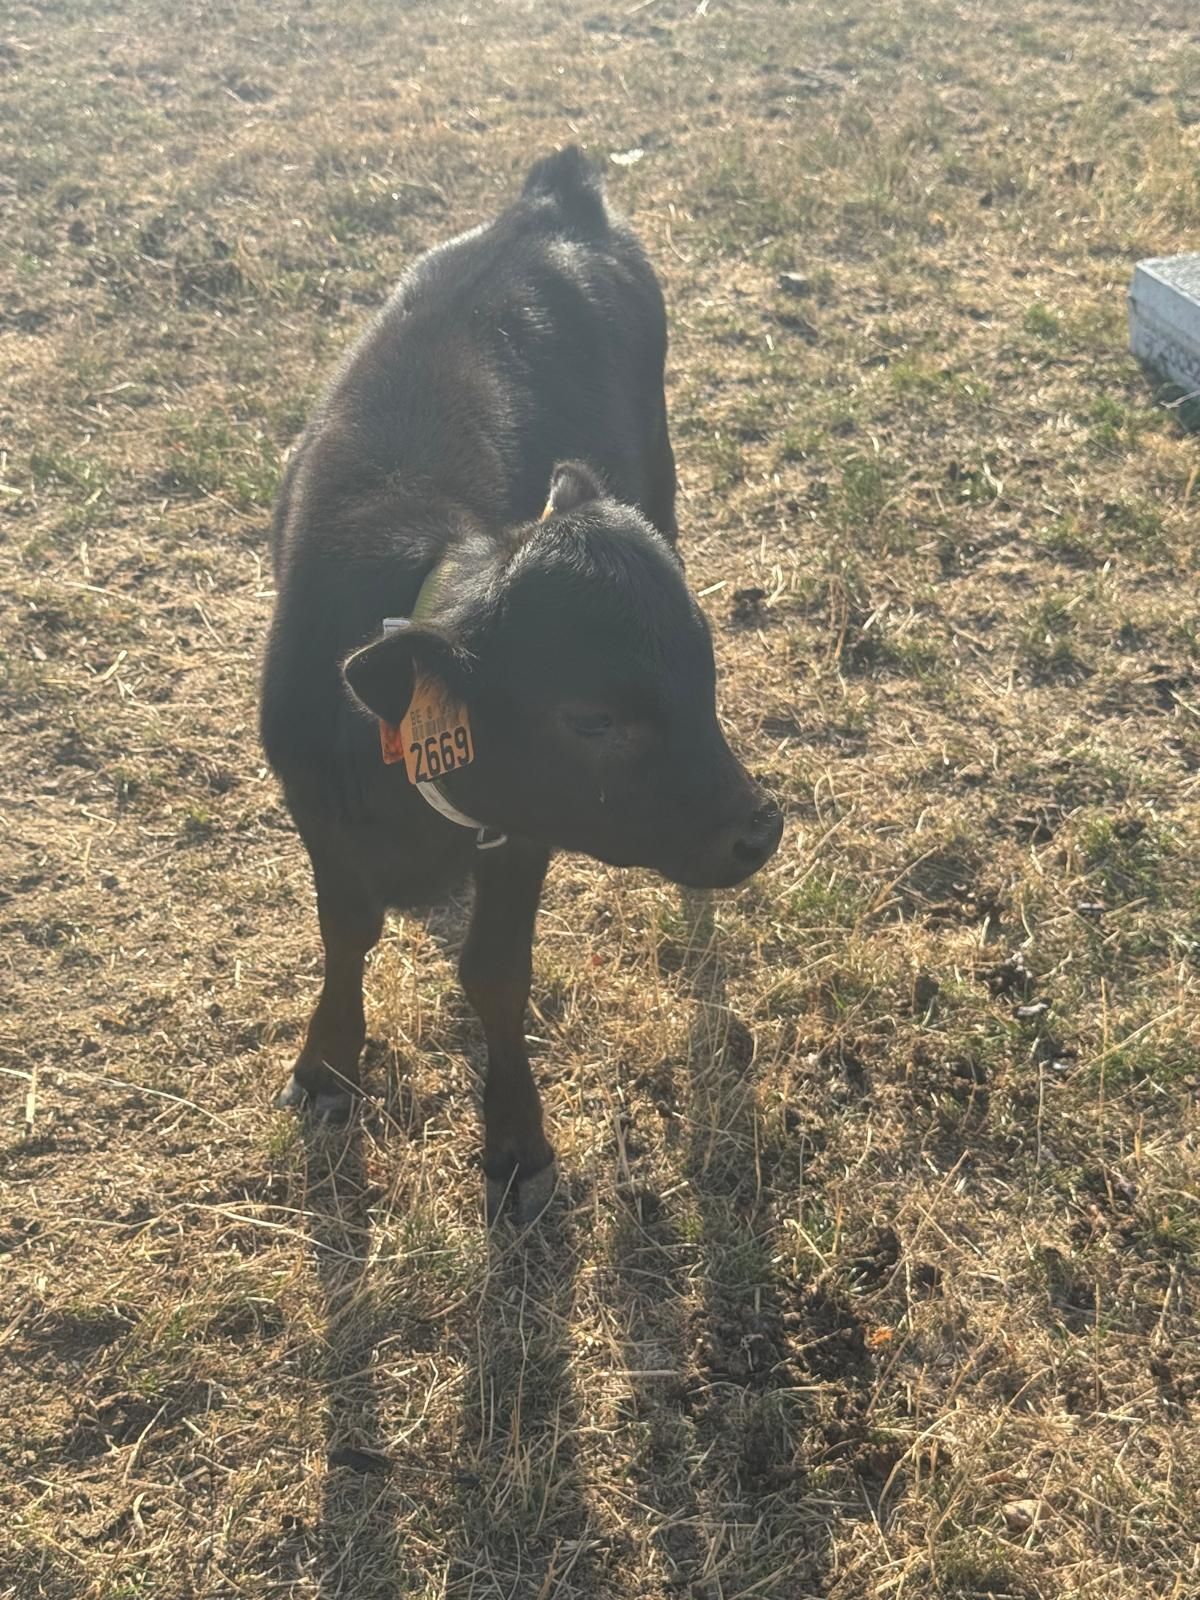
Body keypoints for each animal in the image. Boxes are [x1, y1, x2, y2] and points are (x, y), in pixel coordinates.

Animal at [260, 148, 783, 1220]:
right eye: (588, 719)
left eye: (705, 666)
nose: (759, 829)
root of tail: (551, 199)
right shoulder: (315, 808)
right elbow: (345, 931)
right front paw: (327, 1067)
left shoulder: (521, 835)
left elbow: (494, 973)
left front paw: (516, 1142)